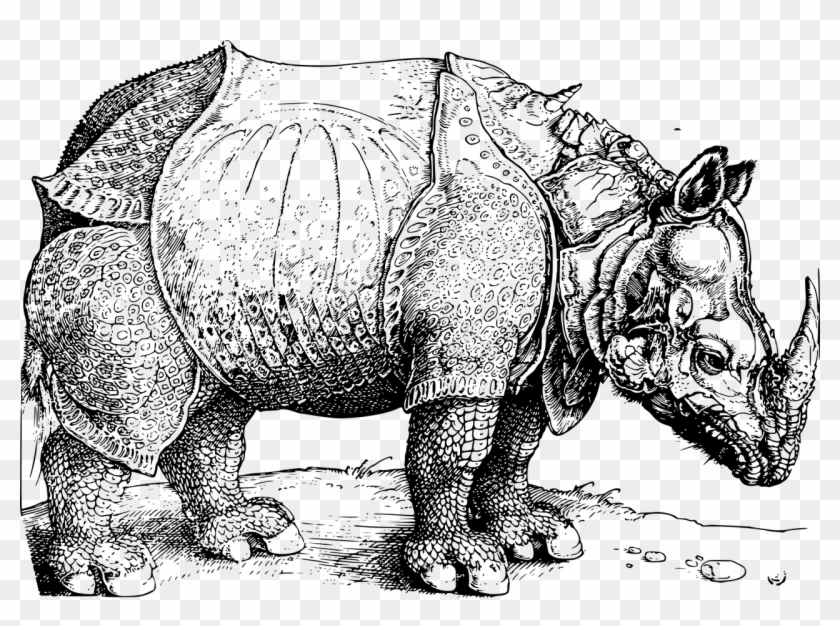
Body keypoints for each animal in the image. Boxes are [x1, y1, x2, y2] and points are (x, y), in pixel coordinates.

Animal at [22, 42, 819, 596]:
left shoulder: (538, 344)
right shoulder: (465, 350)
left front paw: (535, 540)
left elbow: (515, 445)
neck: (610, 236)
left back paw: (254, 537)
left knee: (218, 395)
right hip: (122, 235)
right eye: (713, 358)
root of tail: (87, 140)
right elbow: (451, 454)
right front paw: (464, 573)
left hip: (213, 244)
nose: (773, 469)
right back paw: (109, 577)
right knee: (141, 402)